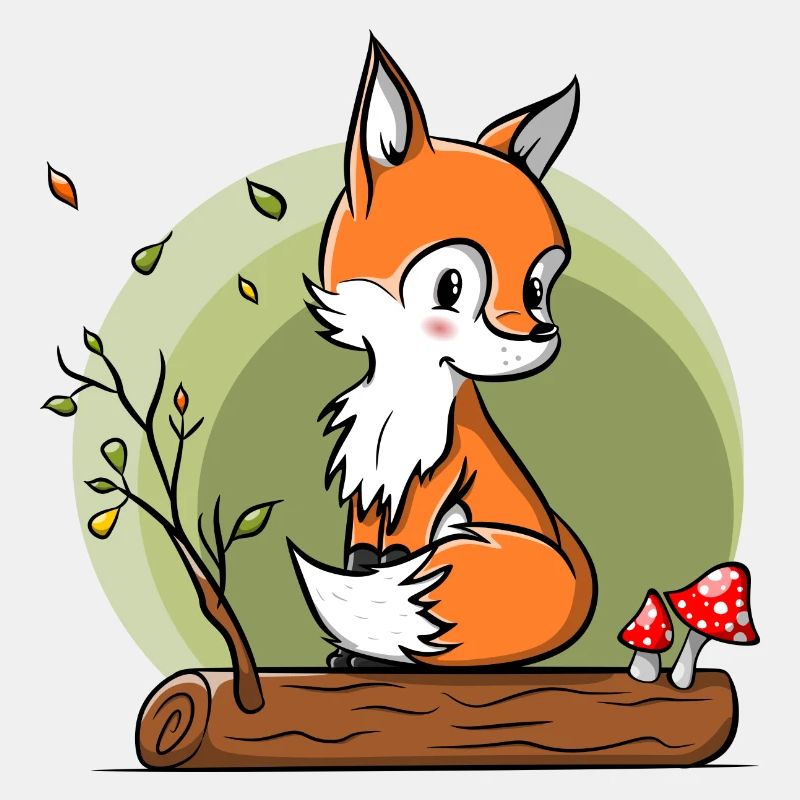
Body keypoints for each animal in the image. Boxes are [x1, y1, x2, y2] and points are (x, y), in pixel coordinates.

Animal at [291, 36, 597, 669]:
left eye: (536, 289)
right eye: (450, 287)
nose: (538, 336)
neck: (406, 396)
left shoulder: (434, 478)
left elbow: (398, 558)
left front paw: (368, 641)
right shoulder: (372, 485)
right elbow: (362, 553)